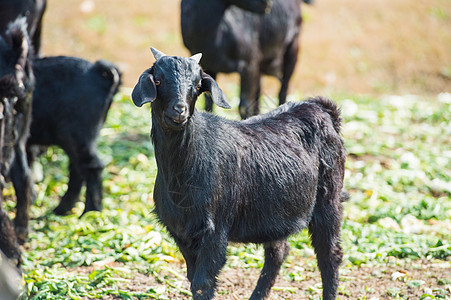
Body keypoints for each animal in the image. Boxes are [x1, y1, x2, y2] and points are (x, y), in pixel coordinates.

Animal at [10, 56, 121, 216]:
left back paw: (90, 212)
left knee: (91, 166)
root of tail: (98, 71)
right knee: (77, 168)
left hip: (74, 134)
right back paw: (63, 209)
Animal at [132, 48, 346, 298]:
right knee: (278, 251)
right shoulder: (181, 232)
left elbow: (202, 283)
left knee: (330, 255)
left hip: (329, 199)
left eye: (197, 85)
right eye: (158, 80)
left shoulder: (216, 230)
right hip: (274, 211)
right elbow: (192, 278)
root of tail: (322, 109)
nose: (179, 110)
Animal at [180, 0, 310, 119]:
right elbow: (208, 103)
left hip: (292, 48)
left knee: (283, 89)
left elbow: (244, 106)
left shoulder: (249, 64)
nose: (267, 3)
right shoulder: (209, 67)